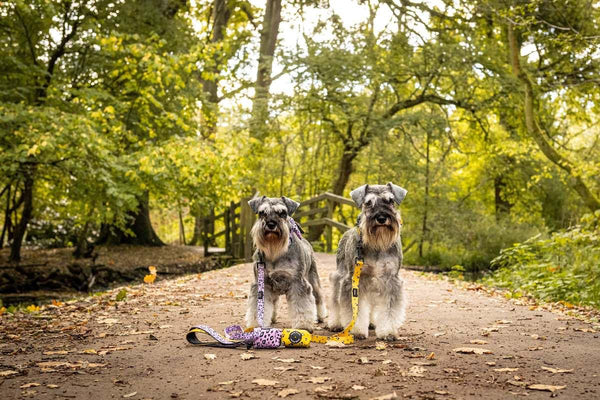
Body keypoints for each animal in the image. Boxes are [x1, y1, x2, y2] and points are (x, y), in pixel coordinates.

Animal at [245, 196, 328, 332]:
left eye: (282, 213)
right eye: (262, 212)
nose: (271, 224)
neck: (275, 252)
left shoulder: (298, 282)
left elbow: (301, 307)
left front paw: (302, 326)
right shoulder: (262, 284)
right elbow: (259, 307)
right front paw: (257, 324)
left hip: (313, 279)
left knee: (318, 297)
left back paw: (320, 316)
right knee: (274, 302)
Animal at [328, 183, 408, 340]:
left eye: (390, 200)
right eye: (368, 203)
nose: (382, 217)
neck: (377, 243)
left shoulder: (390, 279)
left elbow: (389, 309)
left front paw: (388, 332)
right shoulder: (354, 281)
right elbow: (355, 309)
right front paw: (357, 330)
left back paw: (371, 323)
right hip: (340, 277)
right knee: (335, 300)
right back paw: (336, 324)